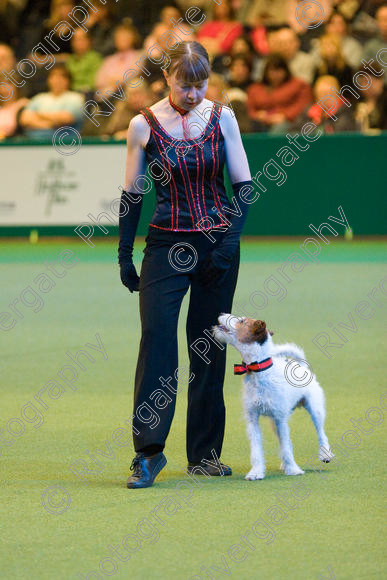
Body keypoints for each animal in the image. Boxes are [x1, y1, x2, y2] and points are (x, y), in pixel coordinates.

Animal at [212, 314, 334, 478]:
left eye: (242, 321)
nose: (221, 314)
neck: (258, 370)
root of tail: (301, 366)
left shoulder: (280, 418)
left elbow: (287, 446)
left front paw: (293, 470)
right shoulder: (253, 419)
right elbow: (257, 449)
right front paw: (256, 472)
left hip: (315, 409)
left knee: (321, 433)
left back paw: (325, 455)